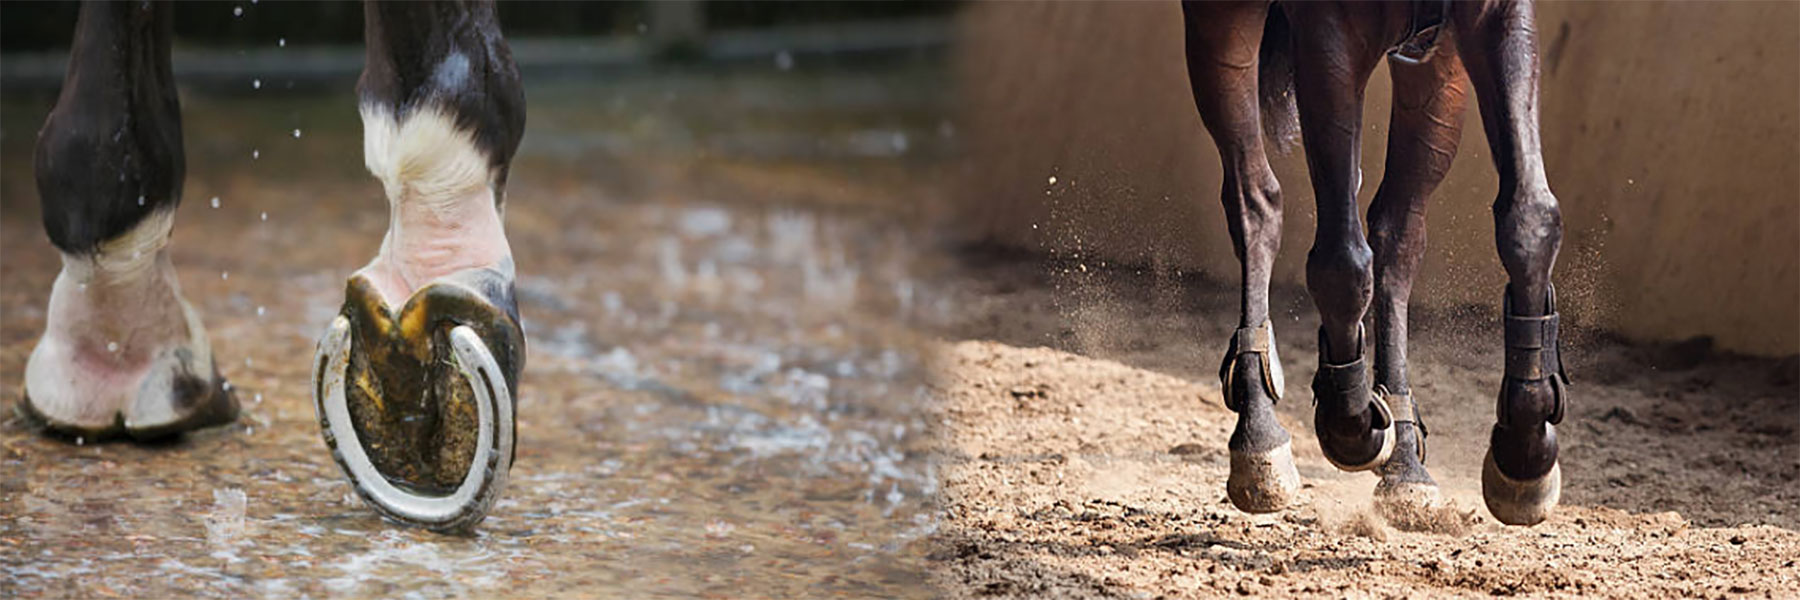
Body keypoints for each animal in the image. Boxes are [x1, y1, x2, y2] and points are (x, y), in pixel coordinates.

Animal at [1181, 0, 1568, 525]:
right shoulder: (1328, 37)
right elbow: (1340, 263)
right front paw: (1349, 423)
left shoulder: (1492, 17)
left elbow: (1530, 218)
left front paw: (1525, 452)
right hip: (1221, 22)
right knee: (1256, 201)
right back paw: (1260, 439)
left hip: (1435, 72)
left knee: (1397, 236)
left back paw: (1405, 463)